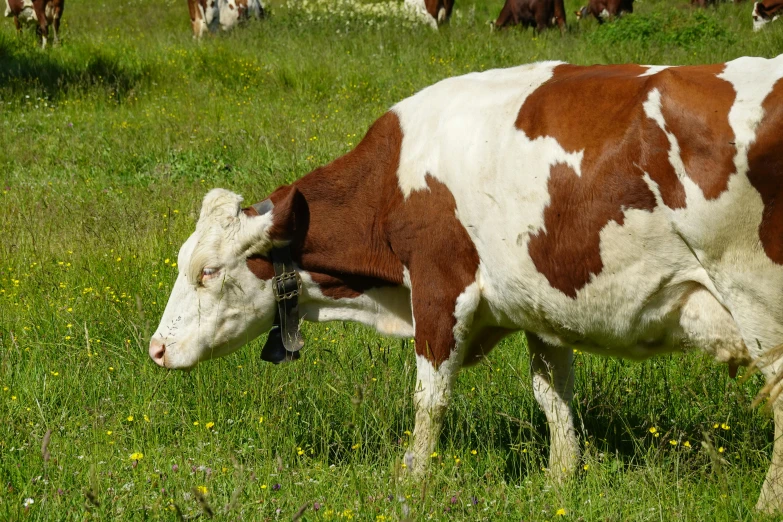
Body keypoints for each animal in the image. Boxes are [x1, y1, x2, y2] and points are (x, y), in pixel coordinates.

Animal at [150, 57, 783, 512]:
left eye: (208, 271)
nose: (156, 348)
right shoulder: (542, 305)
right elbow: (553, 397)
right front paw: (559, 483)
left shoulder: (439, 286)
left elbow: (429, 399)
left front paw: (411, 482)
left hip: (757, 302)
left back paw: (765, 506)